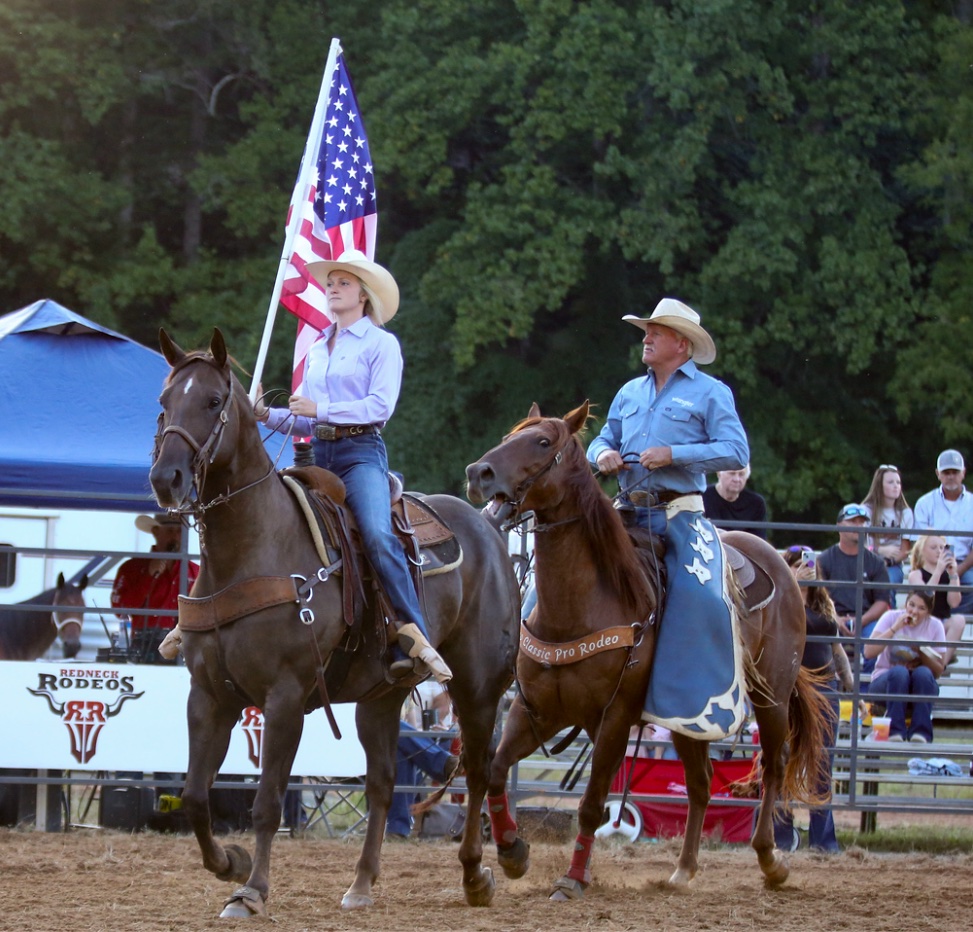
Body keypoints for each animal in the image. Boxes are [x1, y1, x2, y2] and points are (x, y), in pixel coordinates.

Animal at [148, 332, 520, 920]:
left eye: (212, 401)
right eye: (164, 402)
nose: (167, 478)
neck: (253, 549)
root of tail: (487, 528)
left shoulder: (284, 696)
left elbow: (267, 801)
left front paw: (251, 890)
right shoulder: (208, 695)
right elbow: (194, 797)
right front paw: (229, 863)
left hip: (478, 686)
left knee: (480, 771)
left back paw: (476, 875)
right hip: (381, 697)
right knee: (383, 783)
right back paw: (362, 883)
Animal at [468, 404, 832, 900]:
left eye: (543, 442)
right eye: (509, 438)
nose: (478, 473)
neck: (577, 606)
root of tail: (779, 562)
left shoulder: (614, 717)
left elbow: (592, 804)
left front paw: (573, 878)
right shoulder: (538, 711)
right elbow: (496, 769)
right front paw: (511, 852)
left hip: (771, 697)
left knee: (772, 766)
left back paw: (770, 859)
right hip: (686, 716)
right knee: (700, 784)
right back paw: (683, 870)